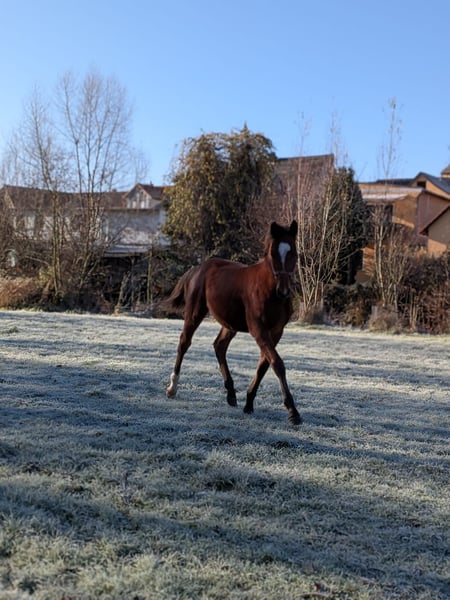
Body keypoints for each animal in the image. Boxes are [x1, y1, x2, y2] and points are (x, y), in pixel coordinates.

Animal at [165, 220, 302, 425]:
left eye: (293, 252)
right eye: (272, 253)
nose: (284, 290)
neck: (269, 291)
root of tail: (197, 268)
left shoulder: (276, 331)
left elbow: (264, 365)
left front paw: (249, 403)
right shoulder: (258, 329)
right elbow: (277, 363)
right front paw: (293, 411)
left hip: (230, 324)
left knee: (219, 346)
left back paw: (231, 394)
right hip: (195, 313)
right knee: (184, 342)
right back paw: (173, 388)